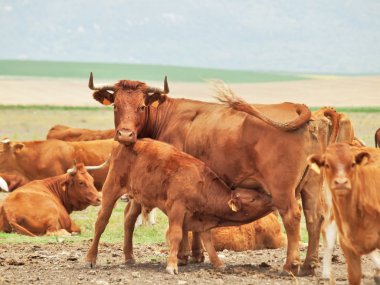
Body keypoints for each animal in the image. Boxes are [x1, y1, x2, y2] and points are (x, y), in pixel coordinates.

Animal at [85, 139, 274, 274]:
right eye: (253, 198)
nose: (271, 198)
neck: (201, 185)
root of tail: (124, 143)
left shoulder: (202, 219)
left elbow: (208, 242)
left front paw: (219, 264)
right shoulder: (177, 208)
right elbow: (176, 235)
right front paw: (172, 266)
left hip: (137, 197)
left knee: (129, 221)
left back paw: (129, 256)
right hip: (111, 189)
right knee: (101, 223)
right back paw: (90, 259)